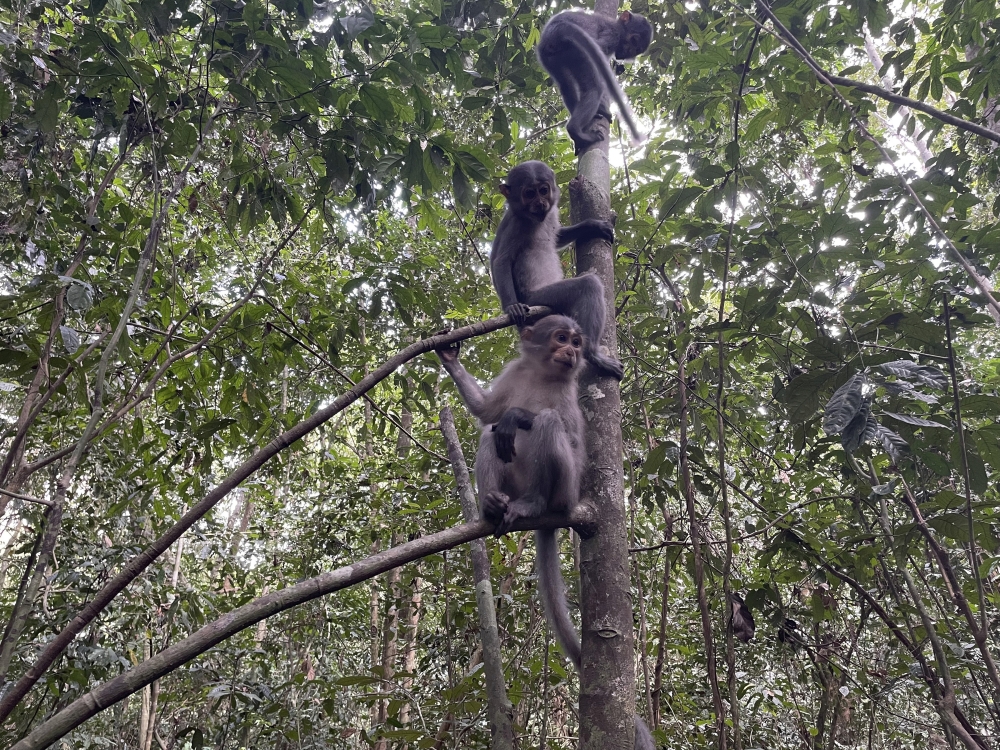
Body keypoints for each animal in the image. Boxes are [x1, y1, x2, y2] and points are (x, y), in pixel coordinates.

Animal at [435, 316, 653, 750]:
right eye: (561, 338)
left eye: (576, 342)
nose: (571, 351)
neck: (544, 373)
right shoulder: (515, 371)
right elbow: (486, 410)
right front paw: (449, 356)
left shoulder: (569, 395)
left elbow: (566, 433)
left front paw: (519, 415)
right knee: (490, 432)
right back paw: (493, 506)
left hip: (566, 491)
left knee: (546, 425)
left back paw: (533, 502)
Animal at [491, 160, 625, 381]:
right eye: (529, 193)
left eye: (543, 190)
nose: (540, 203)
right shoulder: (517, 224)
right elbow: (501, 261)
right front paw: (511, 307)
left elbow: (557, 237)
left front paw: (593, 226)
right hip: (538, 299)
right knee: (589, 285)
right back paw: (593, 354)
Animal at [537, 9, 654, 152]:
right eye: (633, 40)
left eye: (636, 49)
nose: (627, 52)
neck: (618, 26)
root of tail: (555, 29)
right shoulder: (612, 35)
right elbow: (600, 49)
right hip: (578, 53)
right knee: (594, 88)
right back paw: (576, 130)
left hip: (549, 58)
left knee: (566, 85)